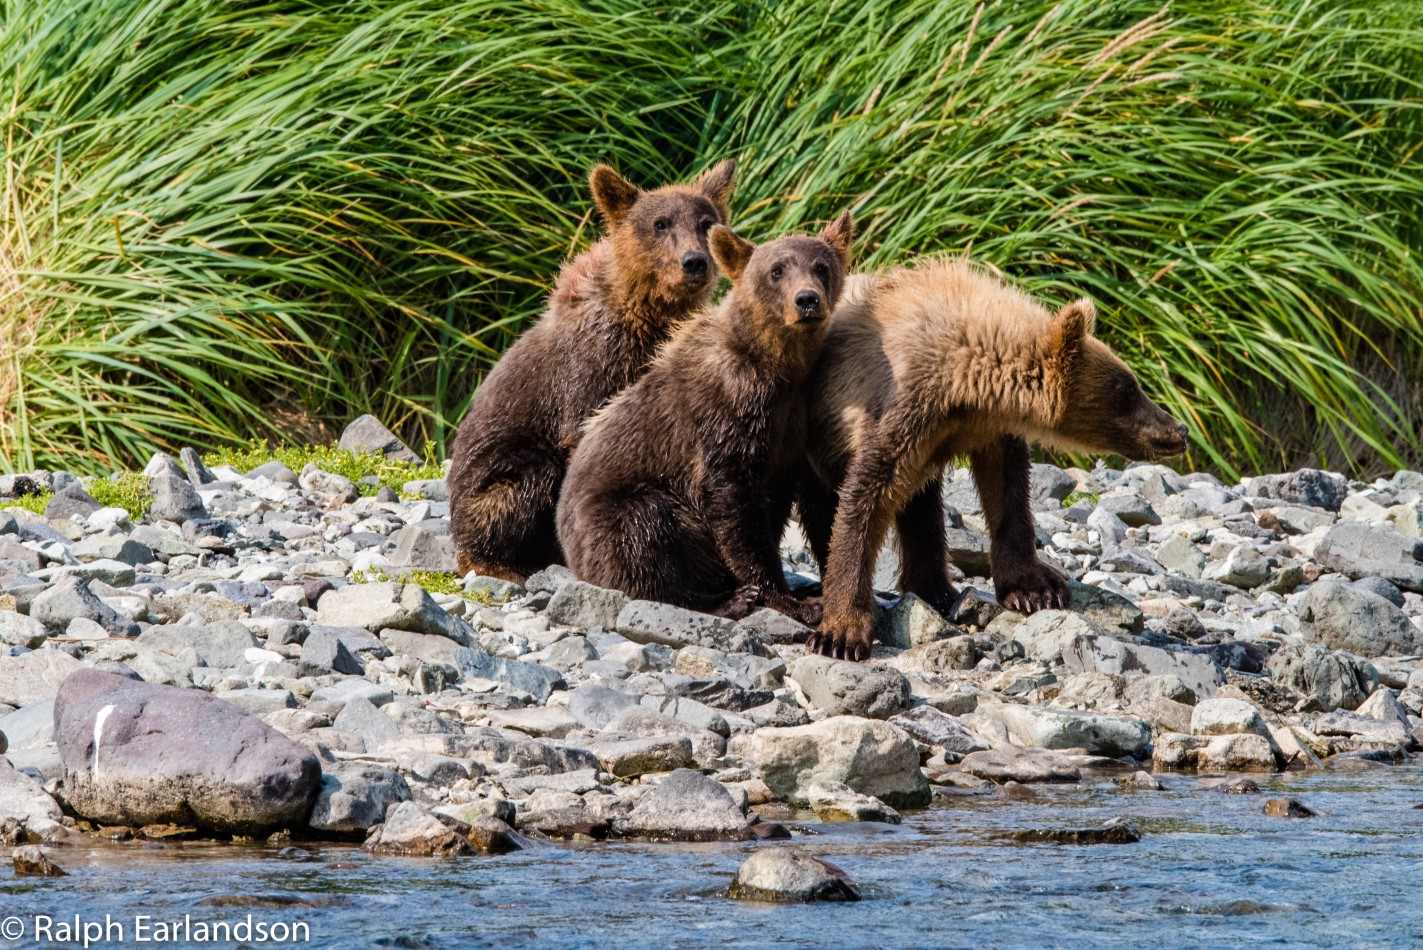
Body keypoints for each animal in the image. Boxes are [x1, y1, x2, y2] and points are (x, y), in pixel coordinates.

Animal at [449, 159, 739, 583]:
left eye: (706, 222)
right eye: (660, 223)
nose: (694, 262)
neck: (646, 316)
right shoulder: (592, 369)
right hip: (491, 471)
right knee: (521, 483)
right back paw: (499, 563)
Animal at [554, 211, 848, 622]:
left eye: (821, 266)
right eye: (776, 271)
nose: (806, 299)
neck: (775, 371)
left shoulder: (790, 427)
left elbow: (776, 502)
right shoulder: (722, 419)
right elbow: (733, 506)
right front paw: (788, 598)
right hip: (611, 511)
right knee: (643, 531)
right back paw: (721, 598)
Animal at [802, 257, 1189, 659]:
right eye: (1129, 388)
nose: (1178, 429)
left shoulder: (983, 427)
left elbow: (1007, 490)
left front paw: (1035, 588)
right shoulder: (897, 407)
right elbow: (865, 498)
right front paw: (841, 633)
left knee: (921, 504)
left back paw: (937, 591)